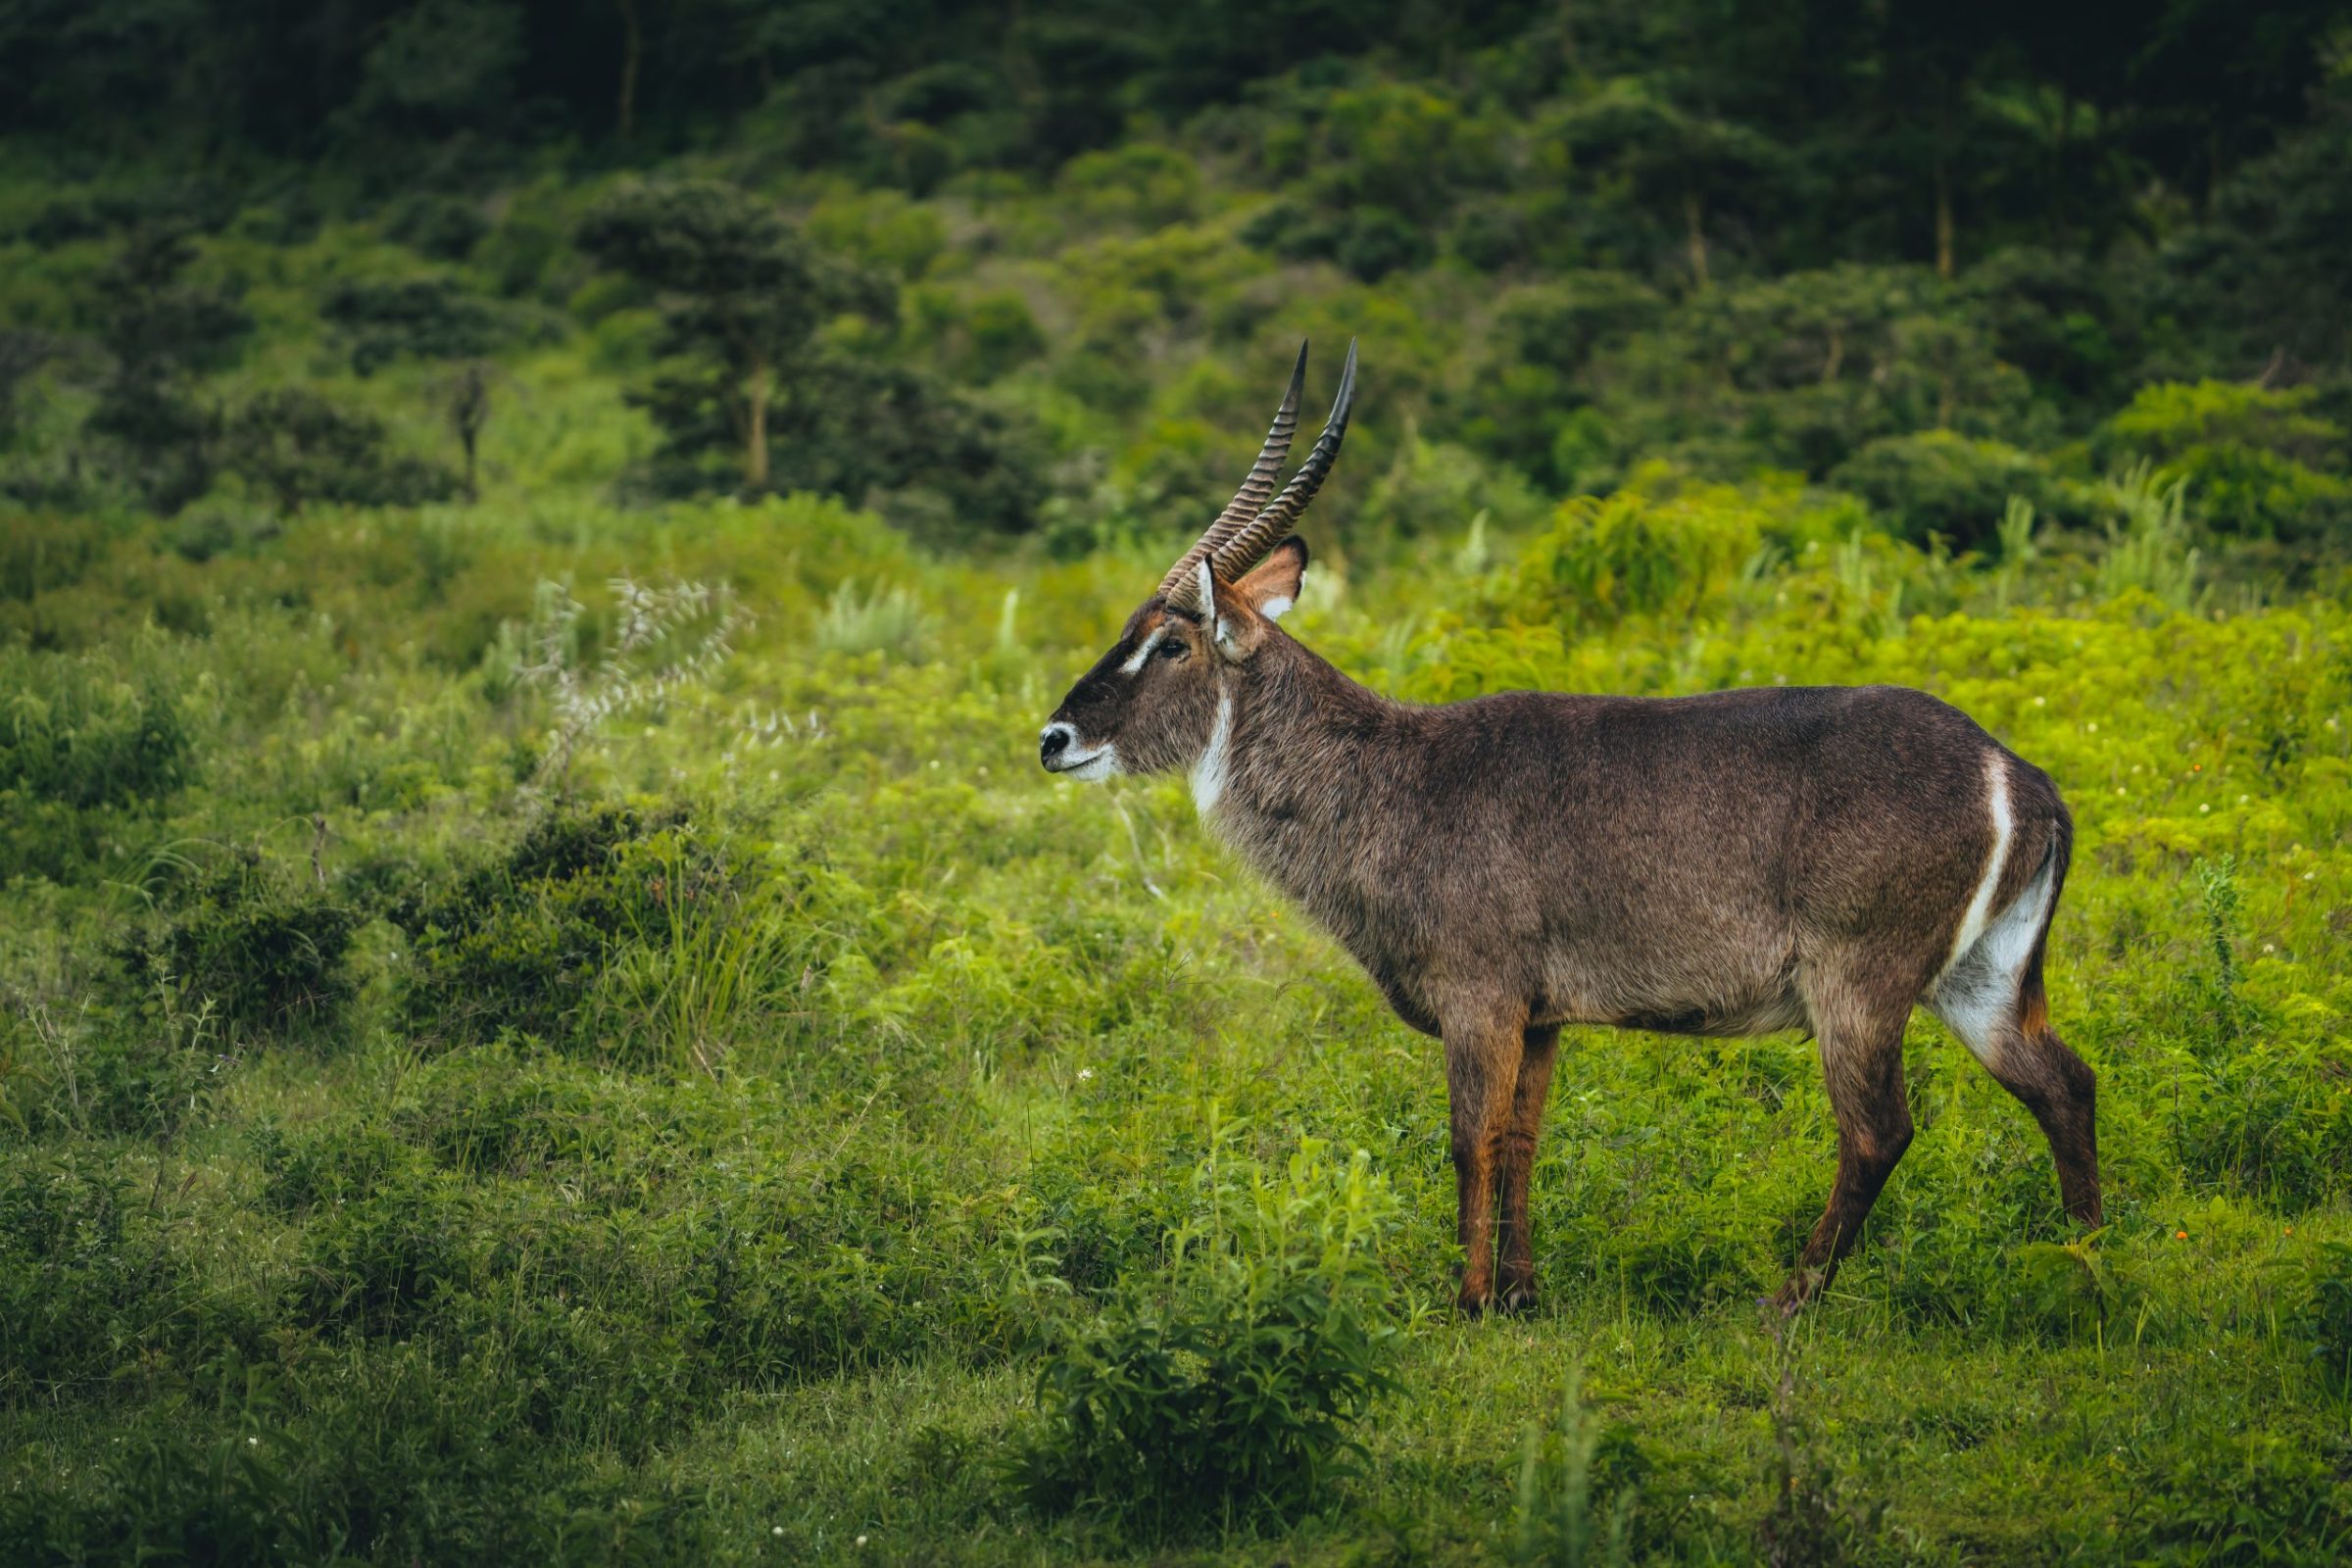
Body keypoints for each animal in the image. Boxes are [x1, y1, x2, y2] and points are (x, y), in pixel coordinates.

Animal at [1039, 350, 2107, 1316]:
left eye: (1169, 642)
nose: (1055, 738)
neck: (1387, 776)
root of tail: (2015, 772)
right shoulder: (1543, 1014)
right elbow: (1522, 1141)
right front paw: (1521, 1293)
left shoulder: (1480, 998)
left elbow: (1468, 1140)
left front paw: (1468, 1301)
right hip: (1981, 980)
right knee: (2065, 1083)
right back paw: (2086, 1270)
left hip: (1858, 981)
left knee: (1881, 1131)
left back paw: (1791, 1299)